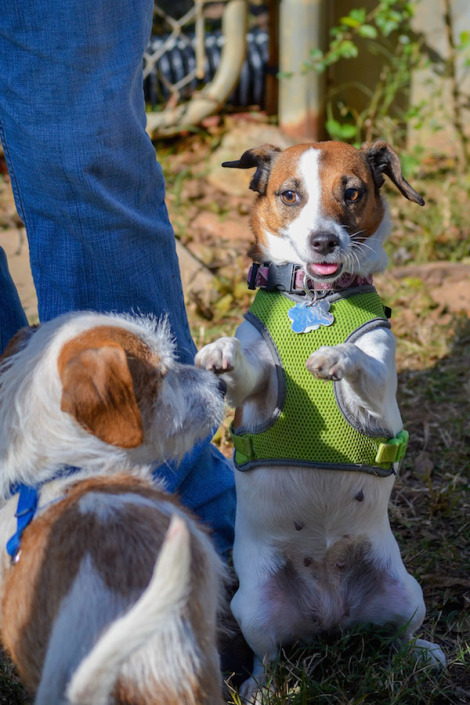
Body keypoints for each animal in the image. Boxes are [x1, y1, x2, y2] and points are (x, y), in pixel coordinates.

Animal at [196, 142, 446, 700]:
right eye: (290, 195)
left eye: (352, 192)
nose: (324, 241)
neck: (315, 295)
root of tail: (330, 616)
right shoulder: (254, 389)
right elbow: (244, 369)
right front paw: (220, 349)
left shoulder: (381, 386)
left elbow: (361, 363)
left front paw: (333, 357)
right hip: (255, 606)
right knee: (269, 655)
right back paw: (260, 689)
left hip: (406, 593)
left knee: (399, 637)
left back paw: (424, 655)